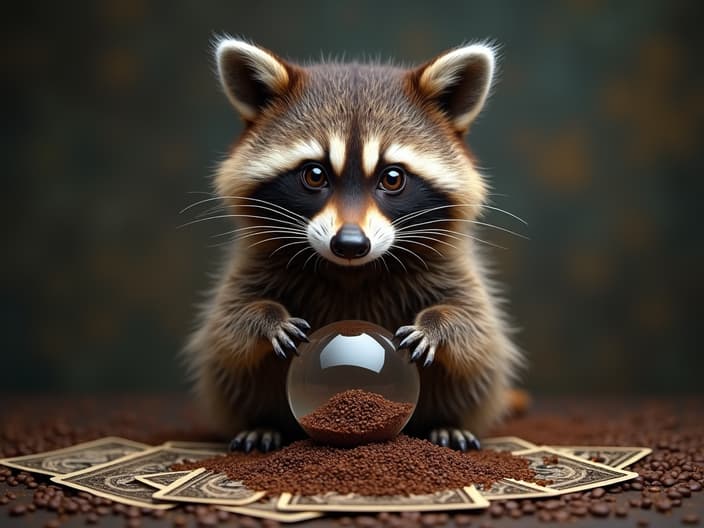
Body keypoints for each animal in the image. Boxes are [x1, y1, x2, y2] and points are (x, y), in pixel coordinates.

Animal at [184, 37, 524, 452]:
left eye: (392, 178)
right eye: (315, 175)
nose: (349, 244)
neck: (352, 271)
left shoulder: (452, 265)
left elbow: (477, 328)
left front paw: (438, 325)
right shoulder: (253, 261)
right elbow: (226, 328)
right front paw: (265, 318)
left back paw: (445, 422)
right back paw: (263, 422)